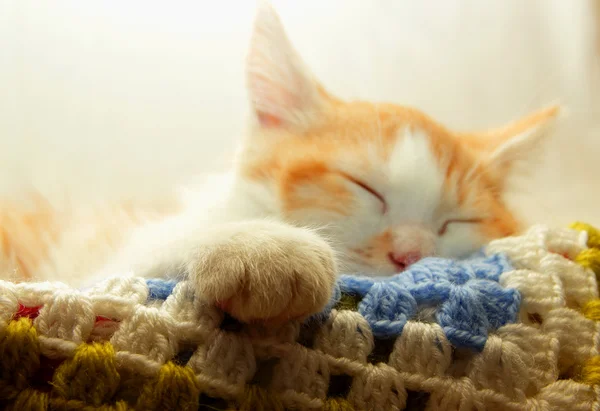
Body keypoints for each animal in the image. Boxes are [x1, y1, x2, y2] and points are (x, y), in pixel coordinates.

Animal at [2, 4, 560, 326]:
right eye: (364, 188)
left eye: (456, 222)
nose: (412, 255)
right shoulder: (98, 269)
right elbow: (143, 259)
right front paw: (262, 245)